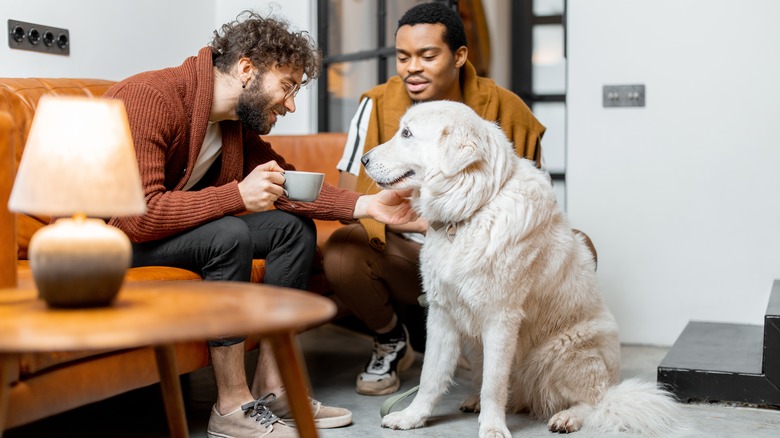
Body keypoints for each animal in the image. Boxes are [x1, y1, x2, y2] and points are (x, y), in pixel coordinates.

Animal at [362, 101, 680, 436]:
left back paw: (567, 417)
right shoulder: (442, 314)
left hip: (565, 352)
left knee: (594, 402)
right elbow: (430, 378)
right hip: (477, 348)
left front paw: (492, 428)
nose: (363, 159)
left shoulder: (501, 319)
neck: (471, 211)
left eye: (407, 134)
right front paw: (413, 417)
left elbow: (493, 384)